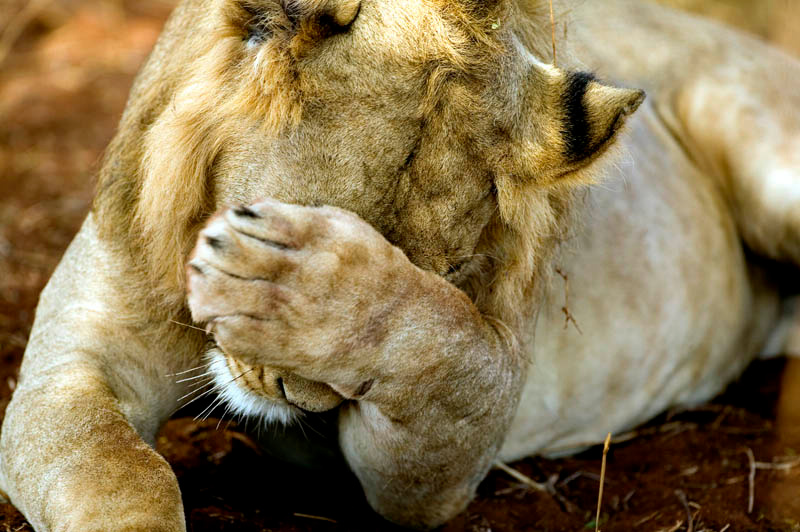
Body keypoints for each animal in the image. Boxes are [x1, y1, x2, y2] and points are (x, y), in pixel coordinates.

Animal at [1, 0, 799, 530]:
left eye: (445, 272)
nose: (305, 407)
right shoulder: (79, 357)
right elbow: (116, 474)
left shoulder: (435, 455)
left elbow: (440, 342)